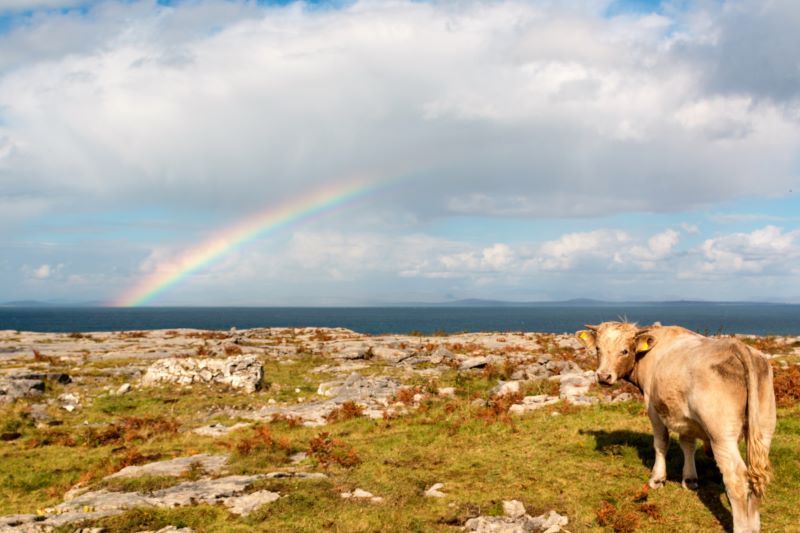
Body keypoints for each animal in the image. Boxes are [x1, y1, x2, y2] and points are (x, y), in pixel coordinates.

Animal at [576, 322, 776, 533]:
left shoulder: (652, 406)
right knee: (757, 477)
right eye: (598, 348)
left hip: (722, 435)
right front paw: (689, 479)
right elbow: (687, 444)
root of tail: (737, 347)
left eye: (624, 350)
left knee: (737, 479)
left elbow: (661, 443)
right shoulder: (686, 418)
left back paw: (742, 526)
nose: (603, 376)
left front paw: (657, 479)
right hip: (764, 429)